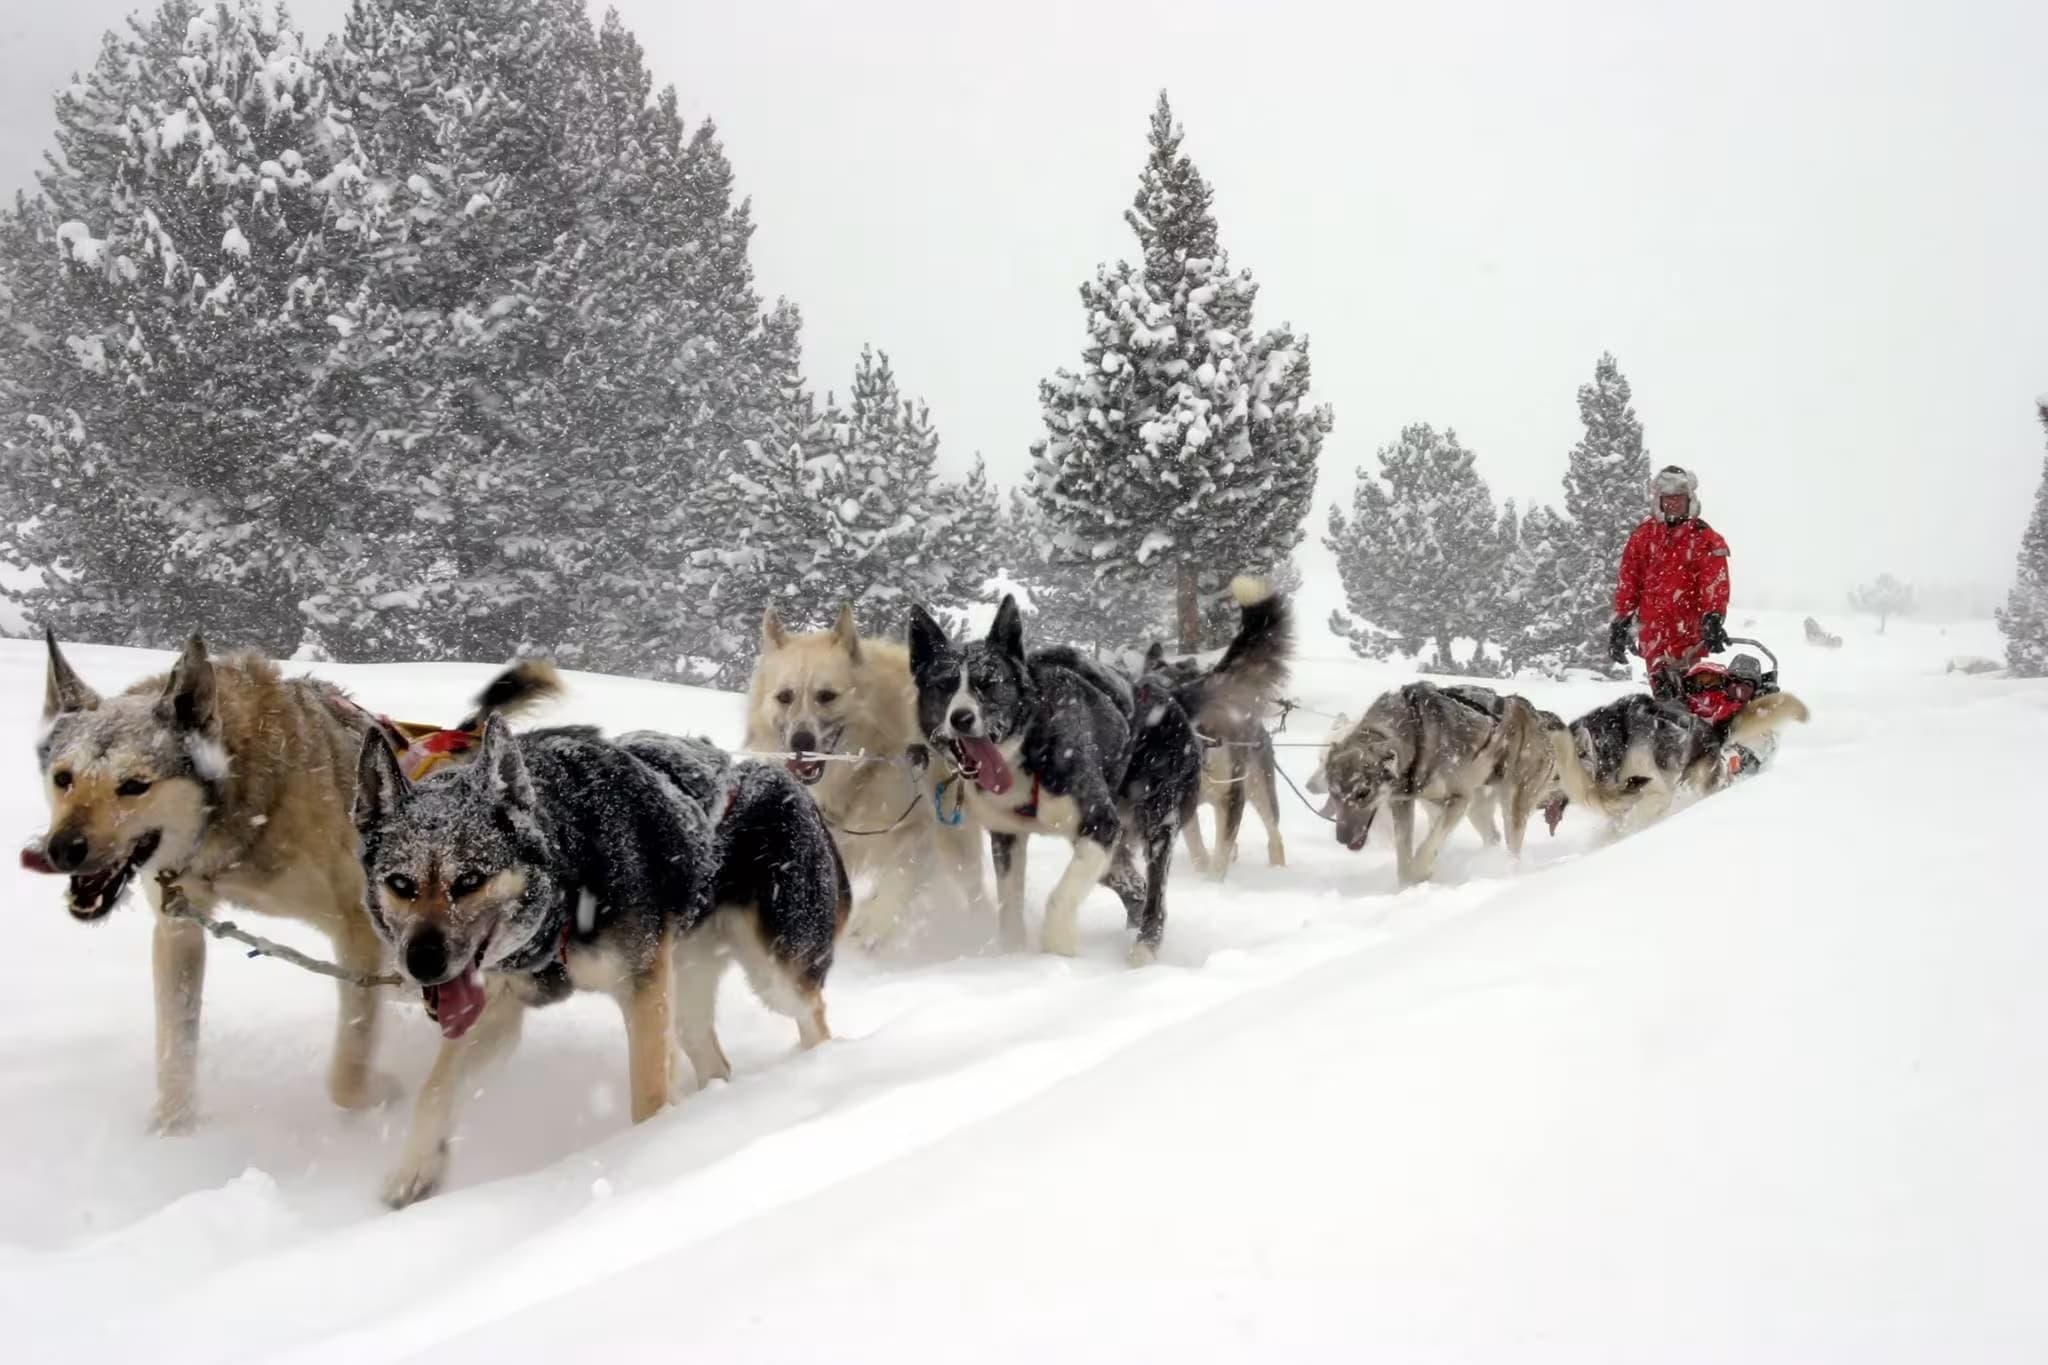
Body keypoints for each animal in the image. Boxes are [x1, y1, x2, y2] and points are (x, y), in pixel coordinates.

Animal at [29, 634, 393, 1137]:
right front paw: (171, 1133)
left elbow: (347, 1074)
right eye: (64, 778)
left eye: (134, 785)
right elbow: (175, 1048)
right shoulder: (177, 928)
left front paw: (380, 1094)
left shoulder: (359, 930)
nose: (61, 849)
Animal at [356, 667, 843, 1211]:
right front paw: (413, 1173)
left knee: (813, 1016)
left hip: (773, 974)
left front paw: (642, 1160)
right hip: (687, 984)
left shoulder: (642, 989)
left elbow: (648, 1095)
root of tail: (786, 782)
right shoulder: (496, 1007)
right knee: (711, 1054)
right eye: (401, 883)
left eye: (470, 880)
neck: (571, 862)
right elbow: (436, 1091)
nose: (422, 962)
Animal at [745, 609, 991, 949]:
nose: (801, 741)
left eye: (827, 696)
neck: (855, 771)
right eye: (784, 697)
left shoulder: (917, 827)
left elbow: (898, 879)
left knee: (972, 891)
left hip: (956, 842)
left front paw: (872, 927)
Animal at [909, 581, 1277, 965]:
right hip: (1112, 851)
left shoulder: (1100, 824)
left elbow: (1060, 897)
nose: (961, 717)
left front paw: (1058, 944)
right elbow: (1009, 908)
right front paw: (1013, 955)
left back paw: (1143, 949)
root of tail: (1170, 696)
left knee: (1154, 897)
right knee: (1134, 887)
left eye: (988, 683)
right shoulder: (1007, 836)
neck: (1032, 741)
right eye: (943, 685)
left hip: (1157, 820)